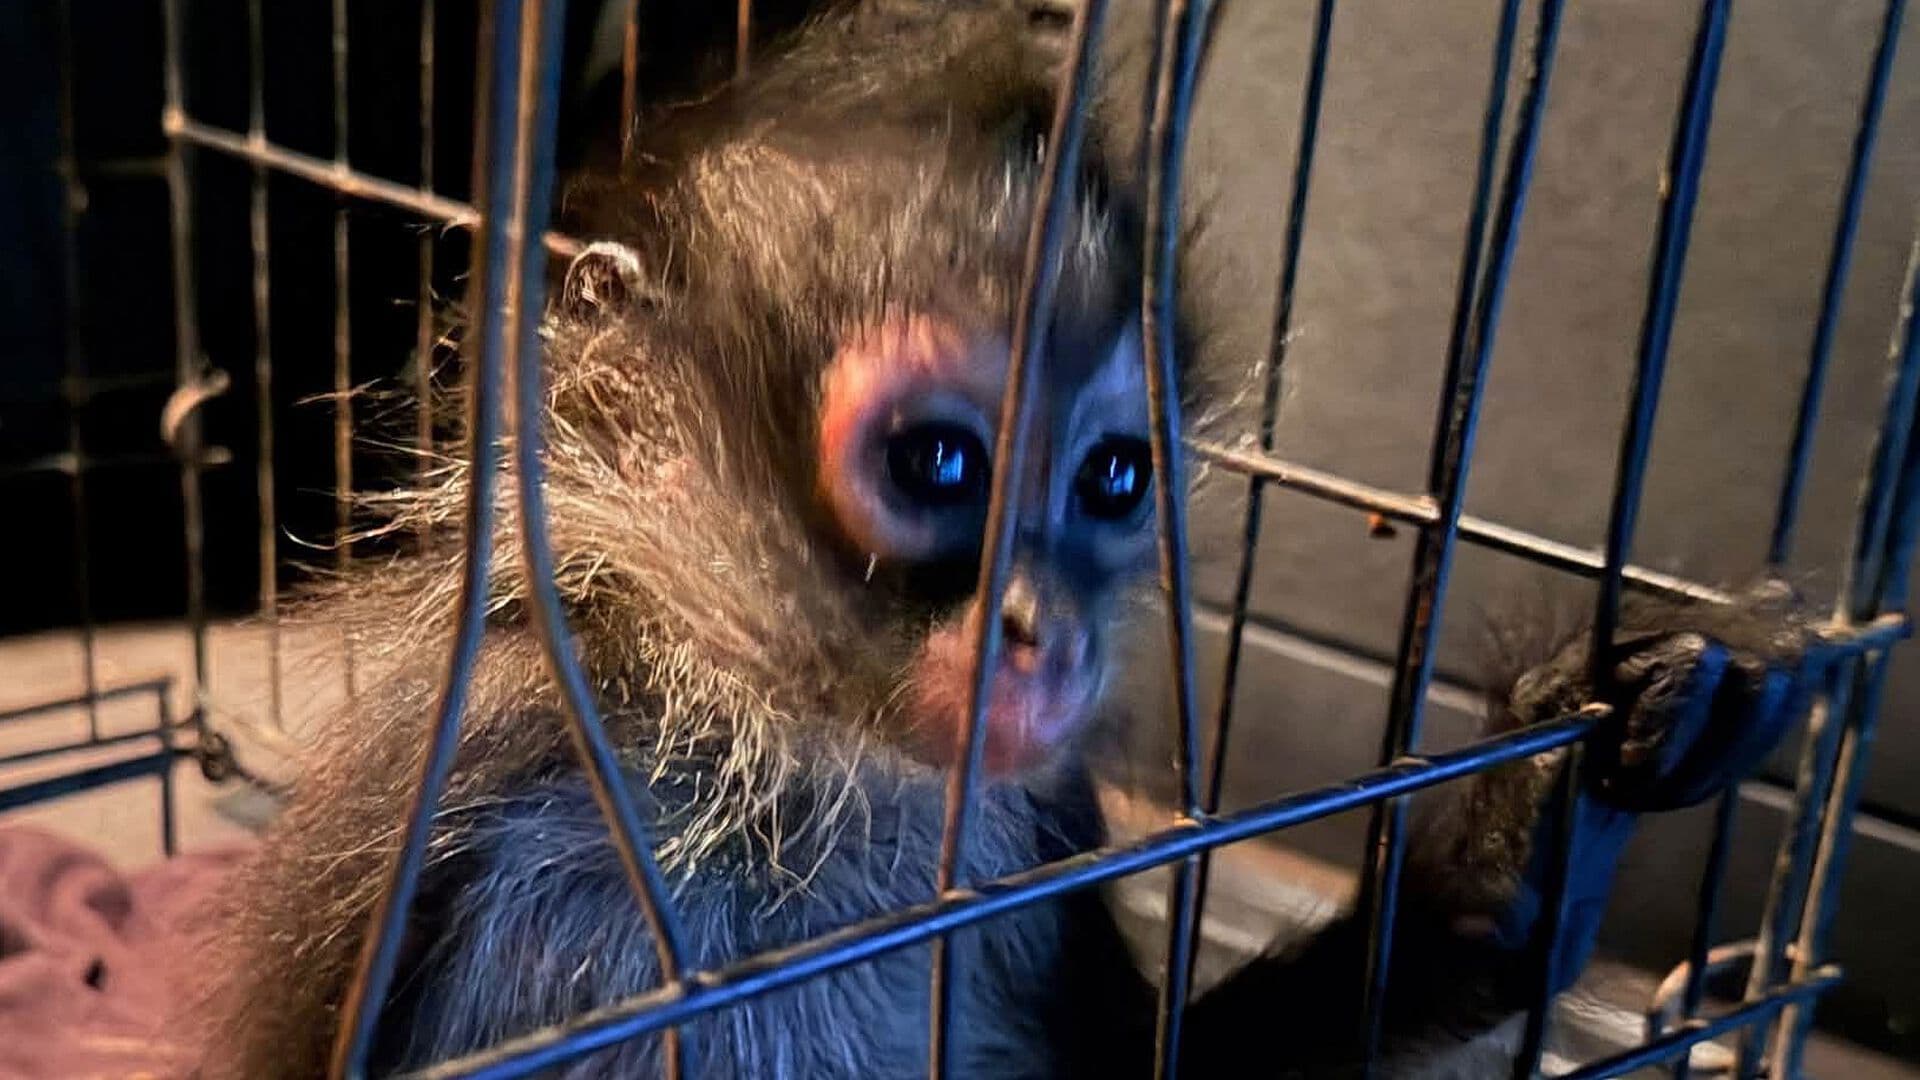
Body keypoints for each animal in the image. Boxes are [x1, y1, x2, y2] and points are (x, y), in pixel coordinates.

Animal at [194, 3, 1816, 1077]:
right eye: (939, 462)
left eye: (1112, 479)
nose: (1048, 631)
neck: (797, 797)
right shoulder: (480, 782)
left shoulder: (1039, 814)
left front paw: (1534, 824)